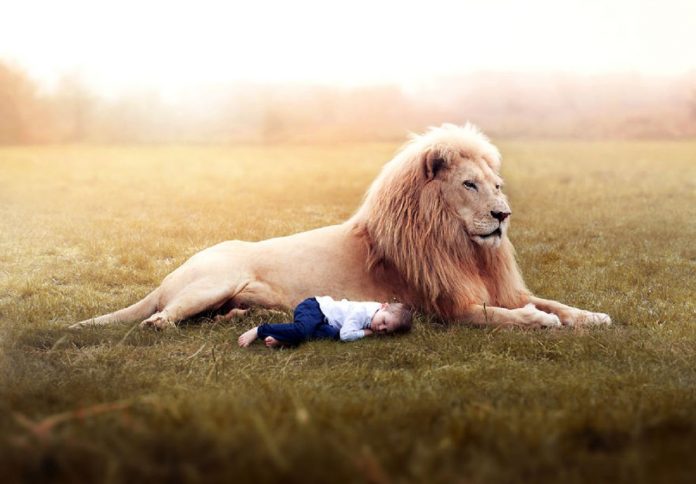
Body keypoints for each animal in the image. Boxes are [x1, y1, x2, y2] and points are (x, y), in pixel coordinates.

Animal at [71, 123, 611, 330]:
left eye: (497, 186)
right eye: (470, 185)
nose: (502, 216)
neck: (460, 244)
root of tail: (169, 277)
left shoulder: (499, 288)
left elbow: (554, 302)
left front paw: (593, 315)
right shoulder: (448, 308)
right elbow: (509, 316)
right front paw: (540, 322)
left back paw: (237, 317)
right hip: (212, 281)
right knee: (159, 318)